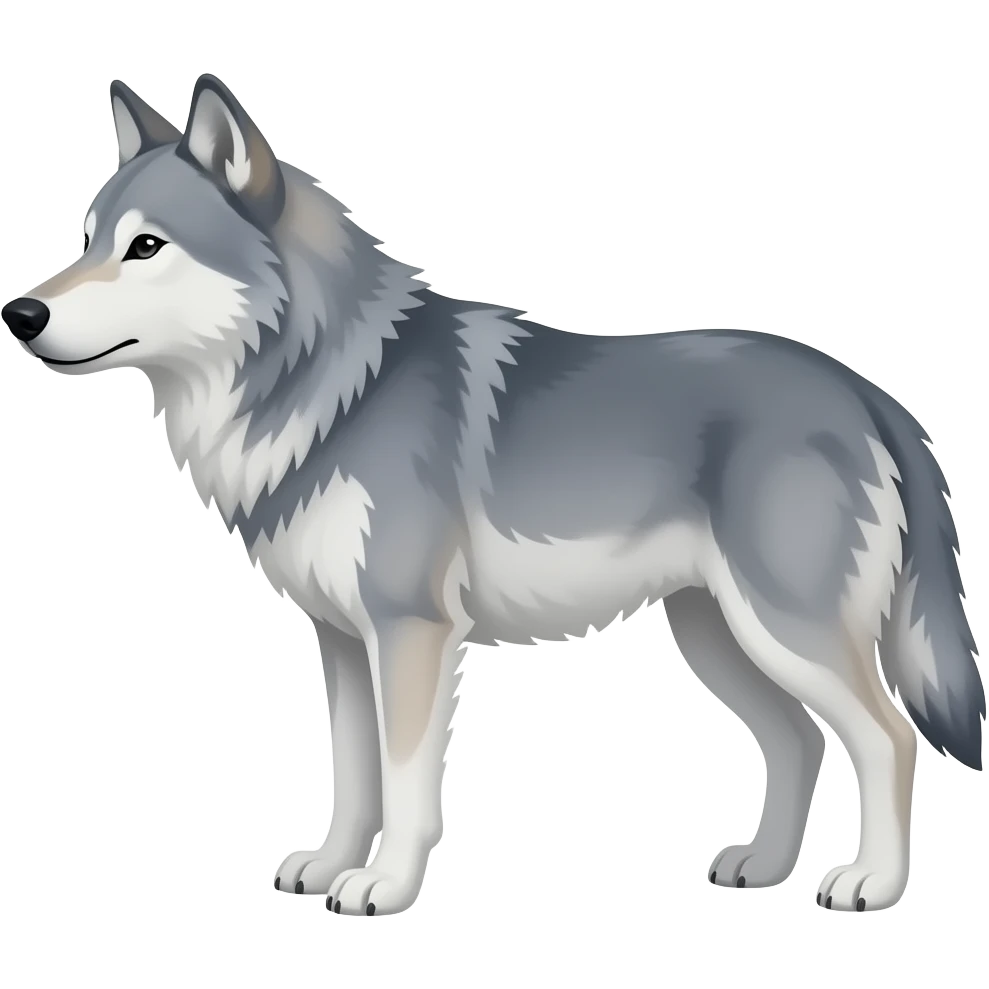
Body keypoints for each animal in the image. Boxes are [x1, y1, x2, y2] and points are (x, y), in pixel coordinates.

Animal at [2, 73, 984, 916]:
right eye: (89, 240)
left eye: (146, 247)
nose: (20, 313)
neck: (334, 389)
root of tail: (865, 391)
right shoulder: (341, 640)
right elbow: (351, 775)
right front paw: (327, 864)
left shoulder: (412, 632)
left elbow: (406, 783)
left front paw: (382, 886)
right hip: (717, 634)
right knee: (799, 739)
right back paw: (763, 866)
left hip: (783, 630)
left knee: (888, 737)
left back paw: (868, 884)